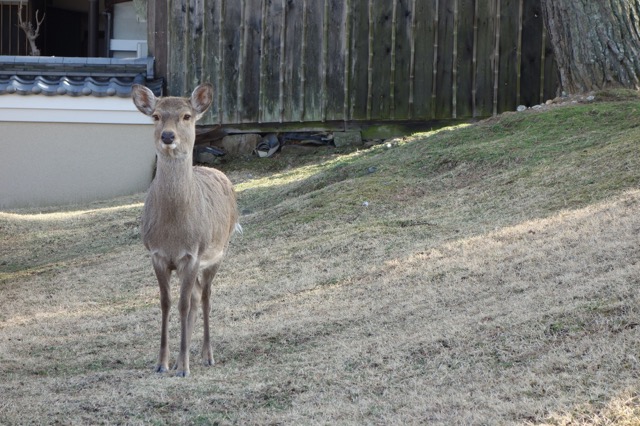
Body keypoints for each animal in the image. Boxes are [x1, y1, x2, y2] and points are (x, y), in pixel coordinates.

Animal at [132, 82, 240, 376]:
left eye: (187, 116)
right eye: (156, 116)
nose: (168, 136)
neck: (174, 232)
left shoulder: (192, 254)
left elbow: (183, 305)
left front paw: (183, 367)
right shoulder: (157, 255)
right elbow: (166, 303)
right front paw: (162, 363)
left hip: (218, 253)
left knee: (205, 297)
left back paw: (206, 355)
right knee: (195, 296)